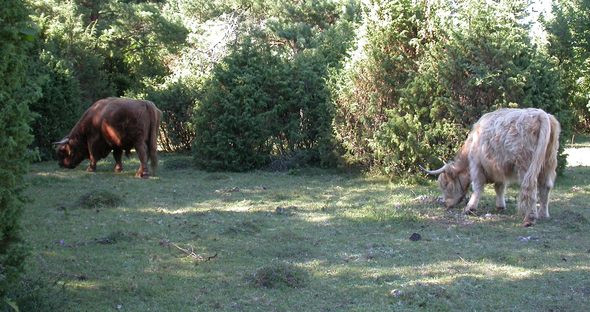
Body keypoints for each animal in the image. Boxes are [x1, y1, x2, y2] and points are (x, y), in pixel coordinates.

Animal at [420, 108, 564, 225]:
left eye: (445, 184)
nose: (446, 203)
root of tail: (540, 114)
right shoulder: (499, 168)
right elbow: (499, 187)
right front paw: (500, 206)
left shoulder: (477, 164)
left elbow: (477, 187)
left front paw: (470, 208)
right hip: (548, 163)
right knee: (545, 187)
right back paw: (543, 214)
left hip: (525, 164)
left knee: (531, 186)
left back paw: (530, 218)